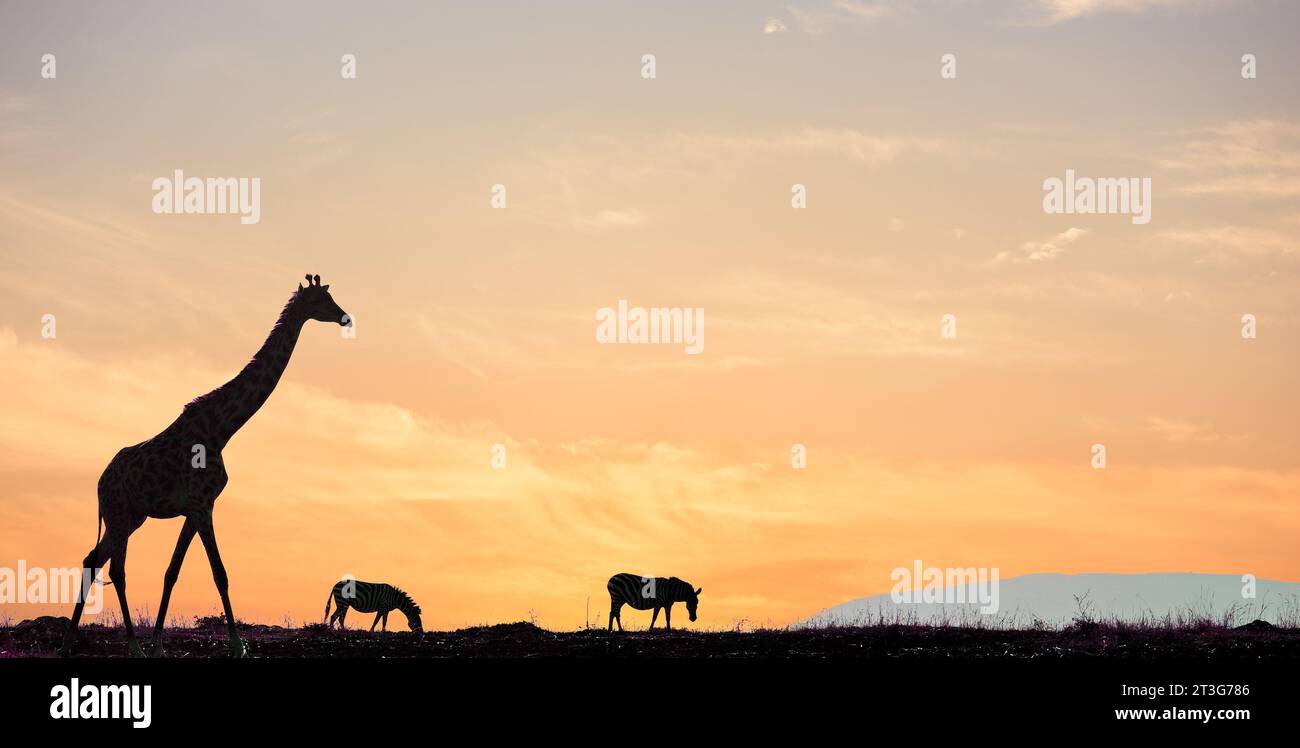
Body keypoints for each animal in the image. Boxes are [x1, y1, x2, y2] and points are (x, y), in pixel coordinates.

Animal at [60, 274, 351, 658]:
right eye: (320, 301)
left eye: (330, 297)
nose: (345, 317)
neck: (222, 428)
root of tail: (99, 483)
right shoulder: (202, 505)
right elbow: (219, 573)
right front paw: (237, 646)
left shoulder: (195, 508)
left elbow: (172, 571)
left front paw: (159, 645)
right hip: (119, 514)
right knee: (116, 570)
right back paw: (129, 647)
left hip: (130, 518)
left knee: (93, 559)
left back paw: (71, 643)